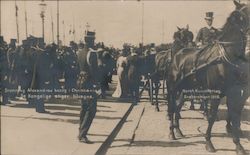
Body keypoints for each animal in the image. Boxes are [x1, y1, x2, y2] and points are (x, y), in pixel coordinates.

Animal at [166, 0, 250, 154]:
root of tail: (177, 55)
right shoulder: (215, 93)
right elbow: (211, 116)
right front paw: (209, 142)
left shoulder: (236, 92)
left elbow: (235, 116)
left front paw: (238, 144)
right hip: (173, 88)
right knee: (172, 107)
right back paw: (172, 132)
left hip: (186, 89)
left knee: (178, 106)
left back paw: (178, 130)